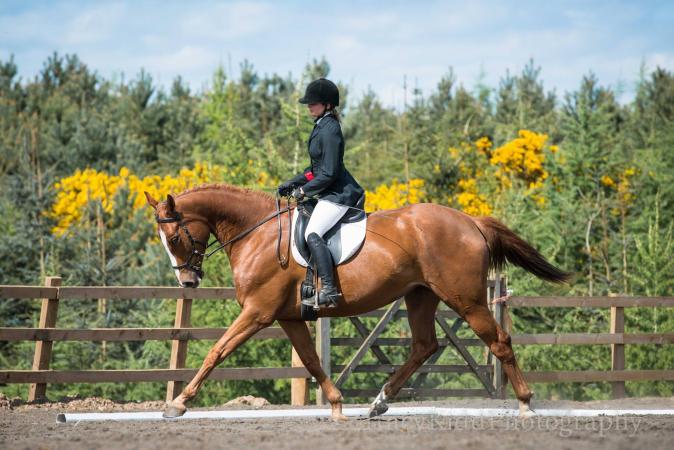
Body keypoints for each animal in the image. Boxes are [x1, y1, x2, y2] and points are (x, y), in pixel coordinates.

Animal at [143, 182, 568, 418]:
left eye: (175, 237)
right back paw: (379, 402)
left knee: (499, 341)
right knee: (424, 345)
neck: (258, 234)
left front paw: (178, 405)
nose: (188, 281)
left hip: (466, 300)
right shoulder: (288, 317)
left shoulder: (258, 312)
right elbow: (311, 361)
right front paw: (335, 404)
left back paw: (526, 403)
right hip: (420, 297)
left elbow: (217, 351)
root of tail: (471, 222)